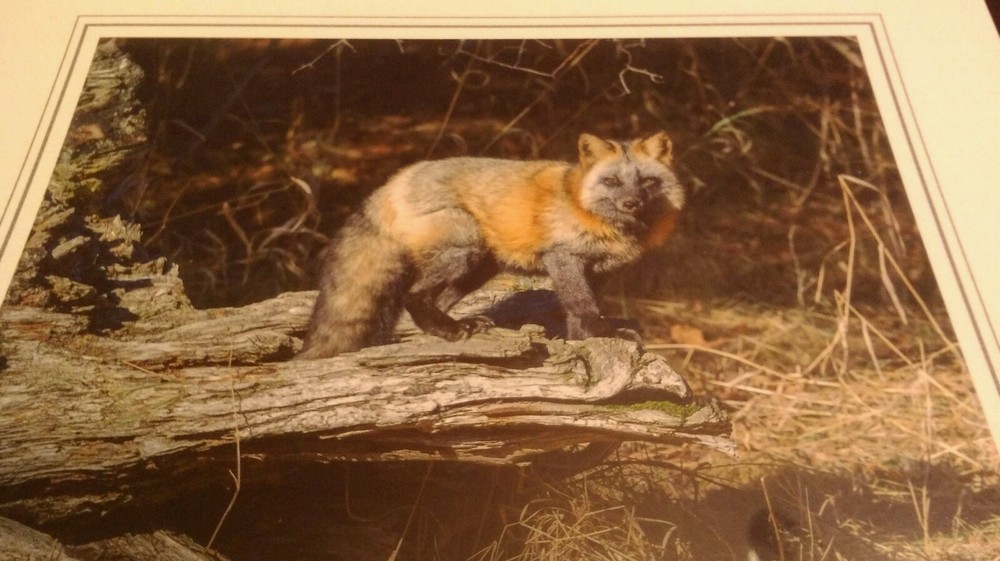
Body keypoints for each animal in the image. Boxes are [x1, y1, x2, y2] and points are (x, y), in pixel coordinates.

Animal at [296, 130, 685, 359]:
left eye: (648, 182)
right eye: (613, 181)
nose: (631, 203)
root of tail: (394, 181)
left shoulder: (599, 271)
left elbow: (578, 313)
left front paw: (580, 343)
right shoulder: (564, 258)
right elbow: (582, 305)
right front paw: (602, 332)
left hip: (478, 268)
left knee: (433, 302)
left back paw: (451, 327)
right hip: (466, 247)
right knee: (413, 296)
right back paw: (451, 330)